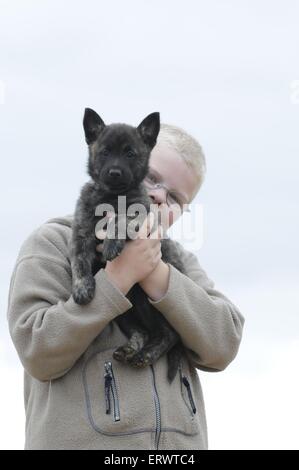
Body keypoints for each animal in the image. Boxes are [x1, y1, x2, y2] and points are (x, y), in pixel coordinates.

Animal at [70, 109, 186, 382]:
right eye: (104, 152)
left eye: (130, 153)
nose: (114, 172)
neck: (112, 196)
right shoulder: (81, 232)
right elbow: (78, 261)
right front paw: (81, 287)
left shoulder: (142, 215)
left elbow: (121, 219)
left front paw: (112, 242)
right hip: (125, 308)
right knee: (142, 332)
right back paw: (129, 350)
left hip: (151, 302)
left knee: (169, 334)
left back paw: (145, 355)